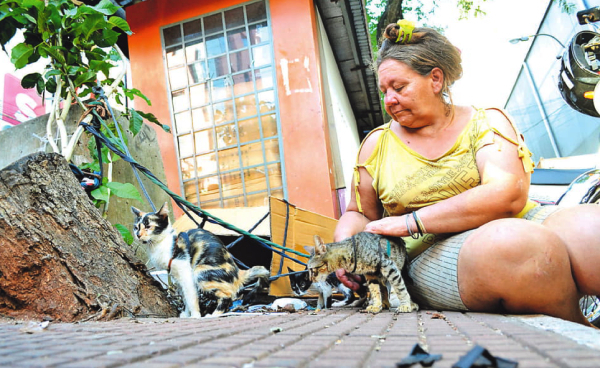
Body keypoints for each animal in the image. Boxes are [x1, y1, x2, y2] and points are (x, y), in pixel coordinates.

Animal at [134, 203, 272, 318]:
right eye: (136, 227)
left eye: (148, 226)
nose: (138, 235)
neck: (161, 243)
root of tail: (238, 272)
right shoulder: (177, 277)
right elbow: (184, 298)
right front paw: (186, 314)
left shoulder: (186, 273)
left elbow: (191, 298)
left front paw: (195, 315)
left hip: (200, 272)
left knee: (228, 296)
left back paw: (213, 315)